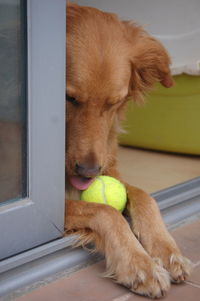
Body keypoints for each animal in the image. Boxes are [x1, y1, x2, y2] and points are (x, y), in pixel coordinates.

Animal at [65, 2, 192, 298]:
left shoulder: (109, 166)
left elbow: (145, 196)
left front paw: (166, 251)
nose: (88, 172)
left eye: (115, 102)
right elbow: (106, 211)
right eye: (70, 98)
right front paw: (139, 264)